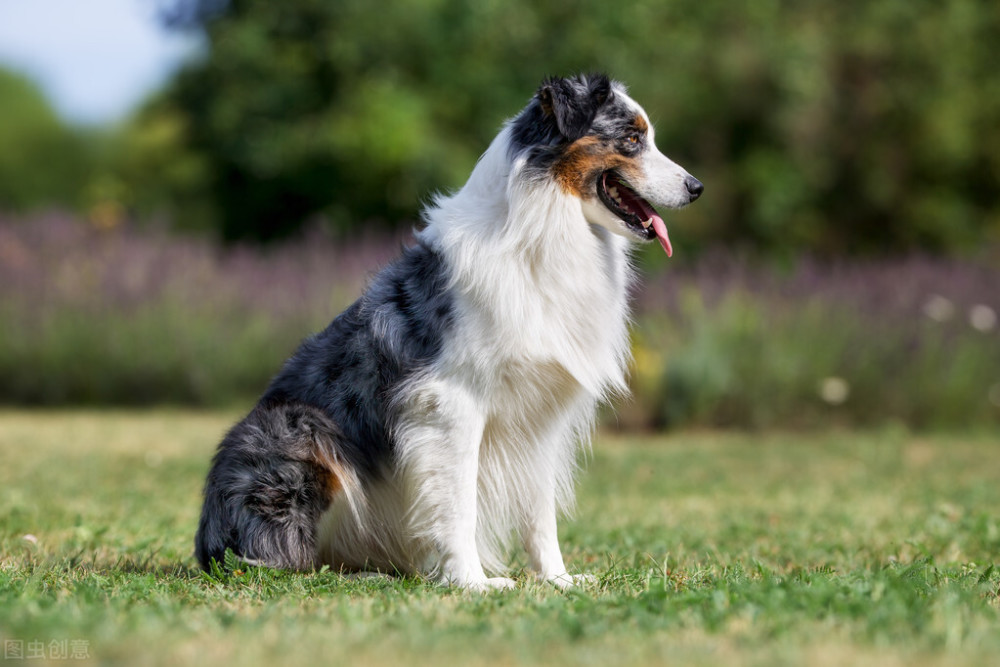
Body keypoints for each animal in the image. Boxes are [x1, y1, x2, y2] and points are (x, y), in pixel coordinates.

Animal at [195, 75, 704, 592]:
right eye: (632, 139)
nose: (696, 188)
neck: (544, 228)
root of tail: (205, 541)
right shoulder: (449, 405)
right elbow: (457, 505)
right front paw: (472, 583)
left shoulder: (539, 418)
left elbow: (540, 514)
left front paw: (557, 579)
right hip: (297, 431)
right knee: (277, 561)